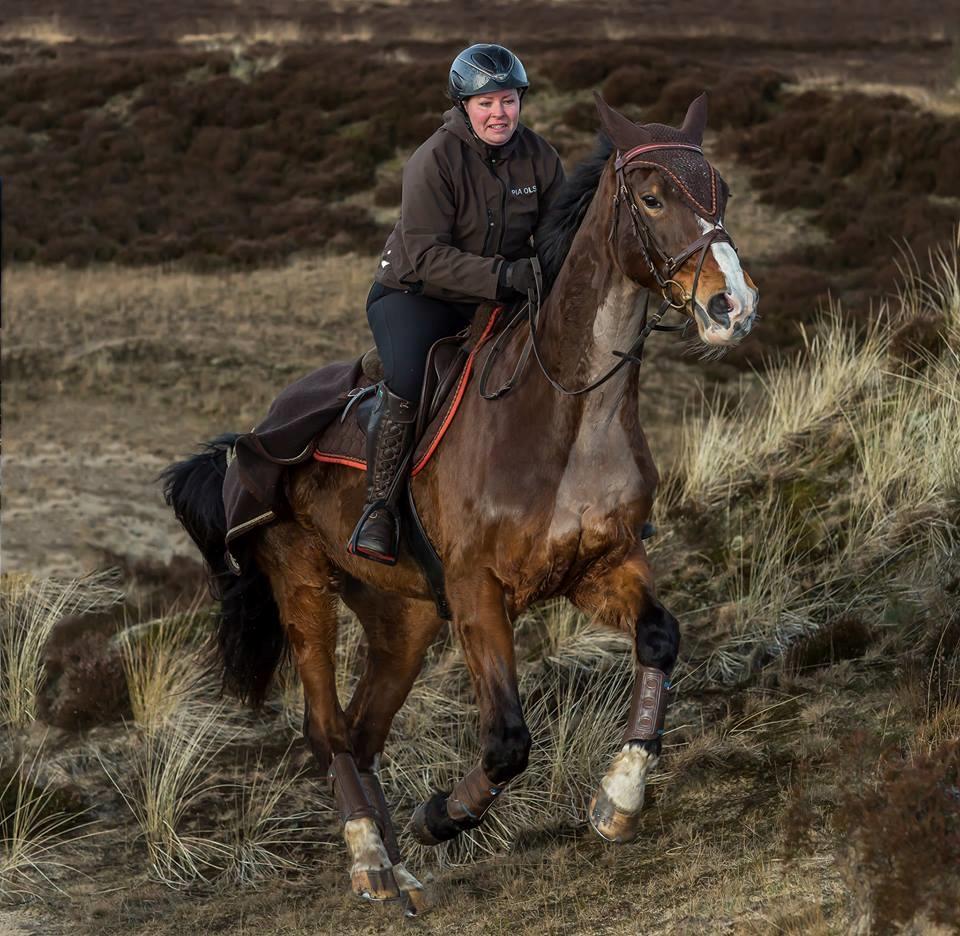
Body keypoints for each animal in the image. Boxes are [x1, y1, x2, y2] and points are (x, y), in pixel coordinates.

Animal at [165, 95, 756, 916]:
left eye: (722, 191)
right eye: (652, 198)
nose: (734, 306)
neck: (568, 413)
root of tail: (246, 438)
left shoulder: (602, 564)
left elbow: (660, 638)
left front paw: (619, 799)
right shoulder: (479, 590)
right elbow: (507, 739)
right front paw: (443, 816)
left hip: (403, 617)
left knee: (363, 729)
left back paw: (398, 870)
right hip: (303, 588)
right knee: (327, 729)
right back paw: (372, 863)